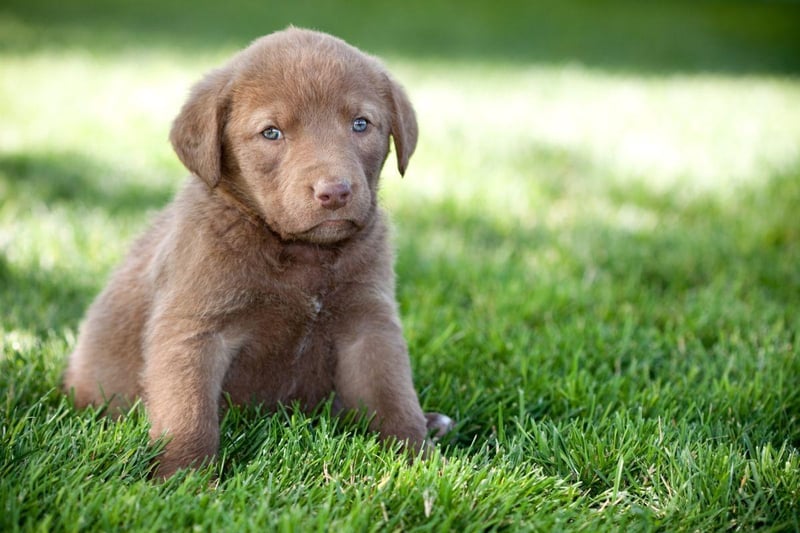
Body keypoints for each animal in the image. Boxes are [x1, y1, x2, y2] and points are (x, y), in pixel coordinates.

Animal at [65, 28, 454, 478]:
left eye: (361, 124)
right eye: (271, 133)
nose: (335, 191)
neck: (301, 254)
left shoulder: (369, 326)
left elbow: (394, 399)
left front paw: (421, 463)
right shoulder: (193, 330)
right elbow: (189, 414)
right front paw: (185, 478)